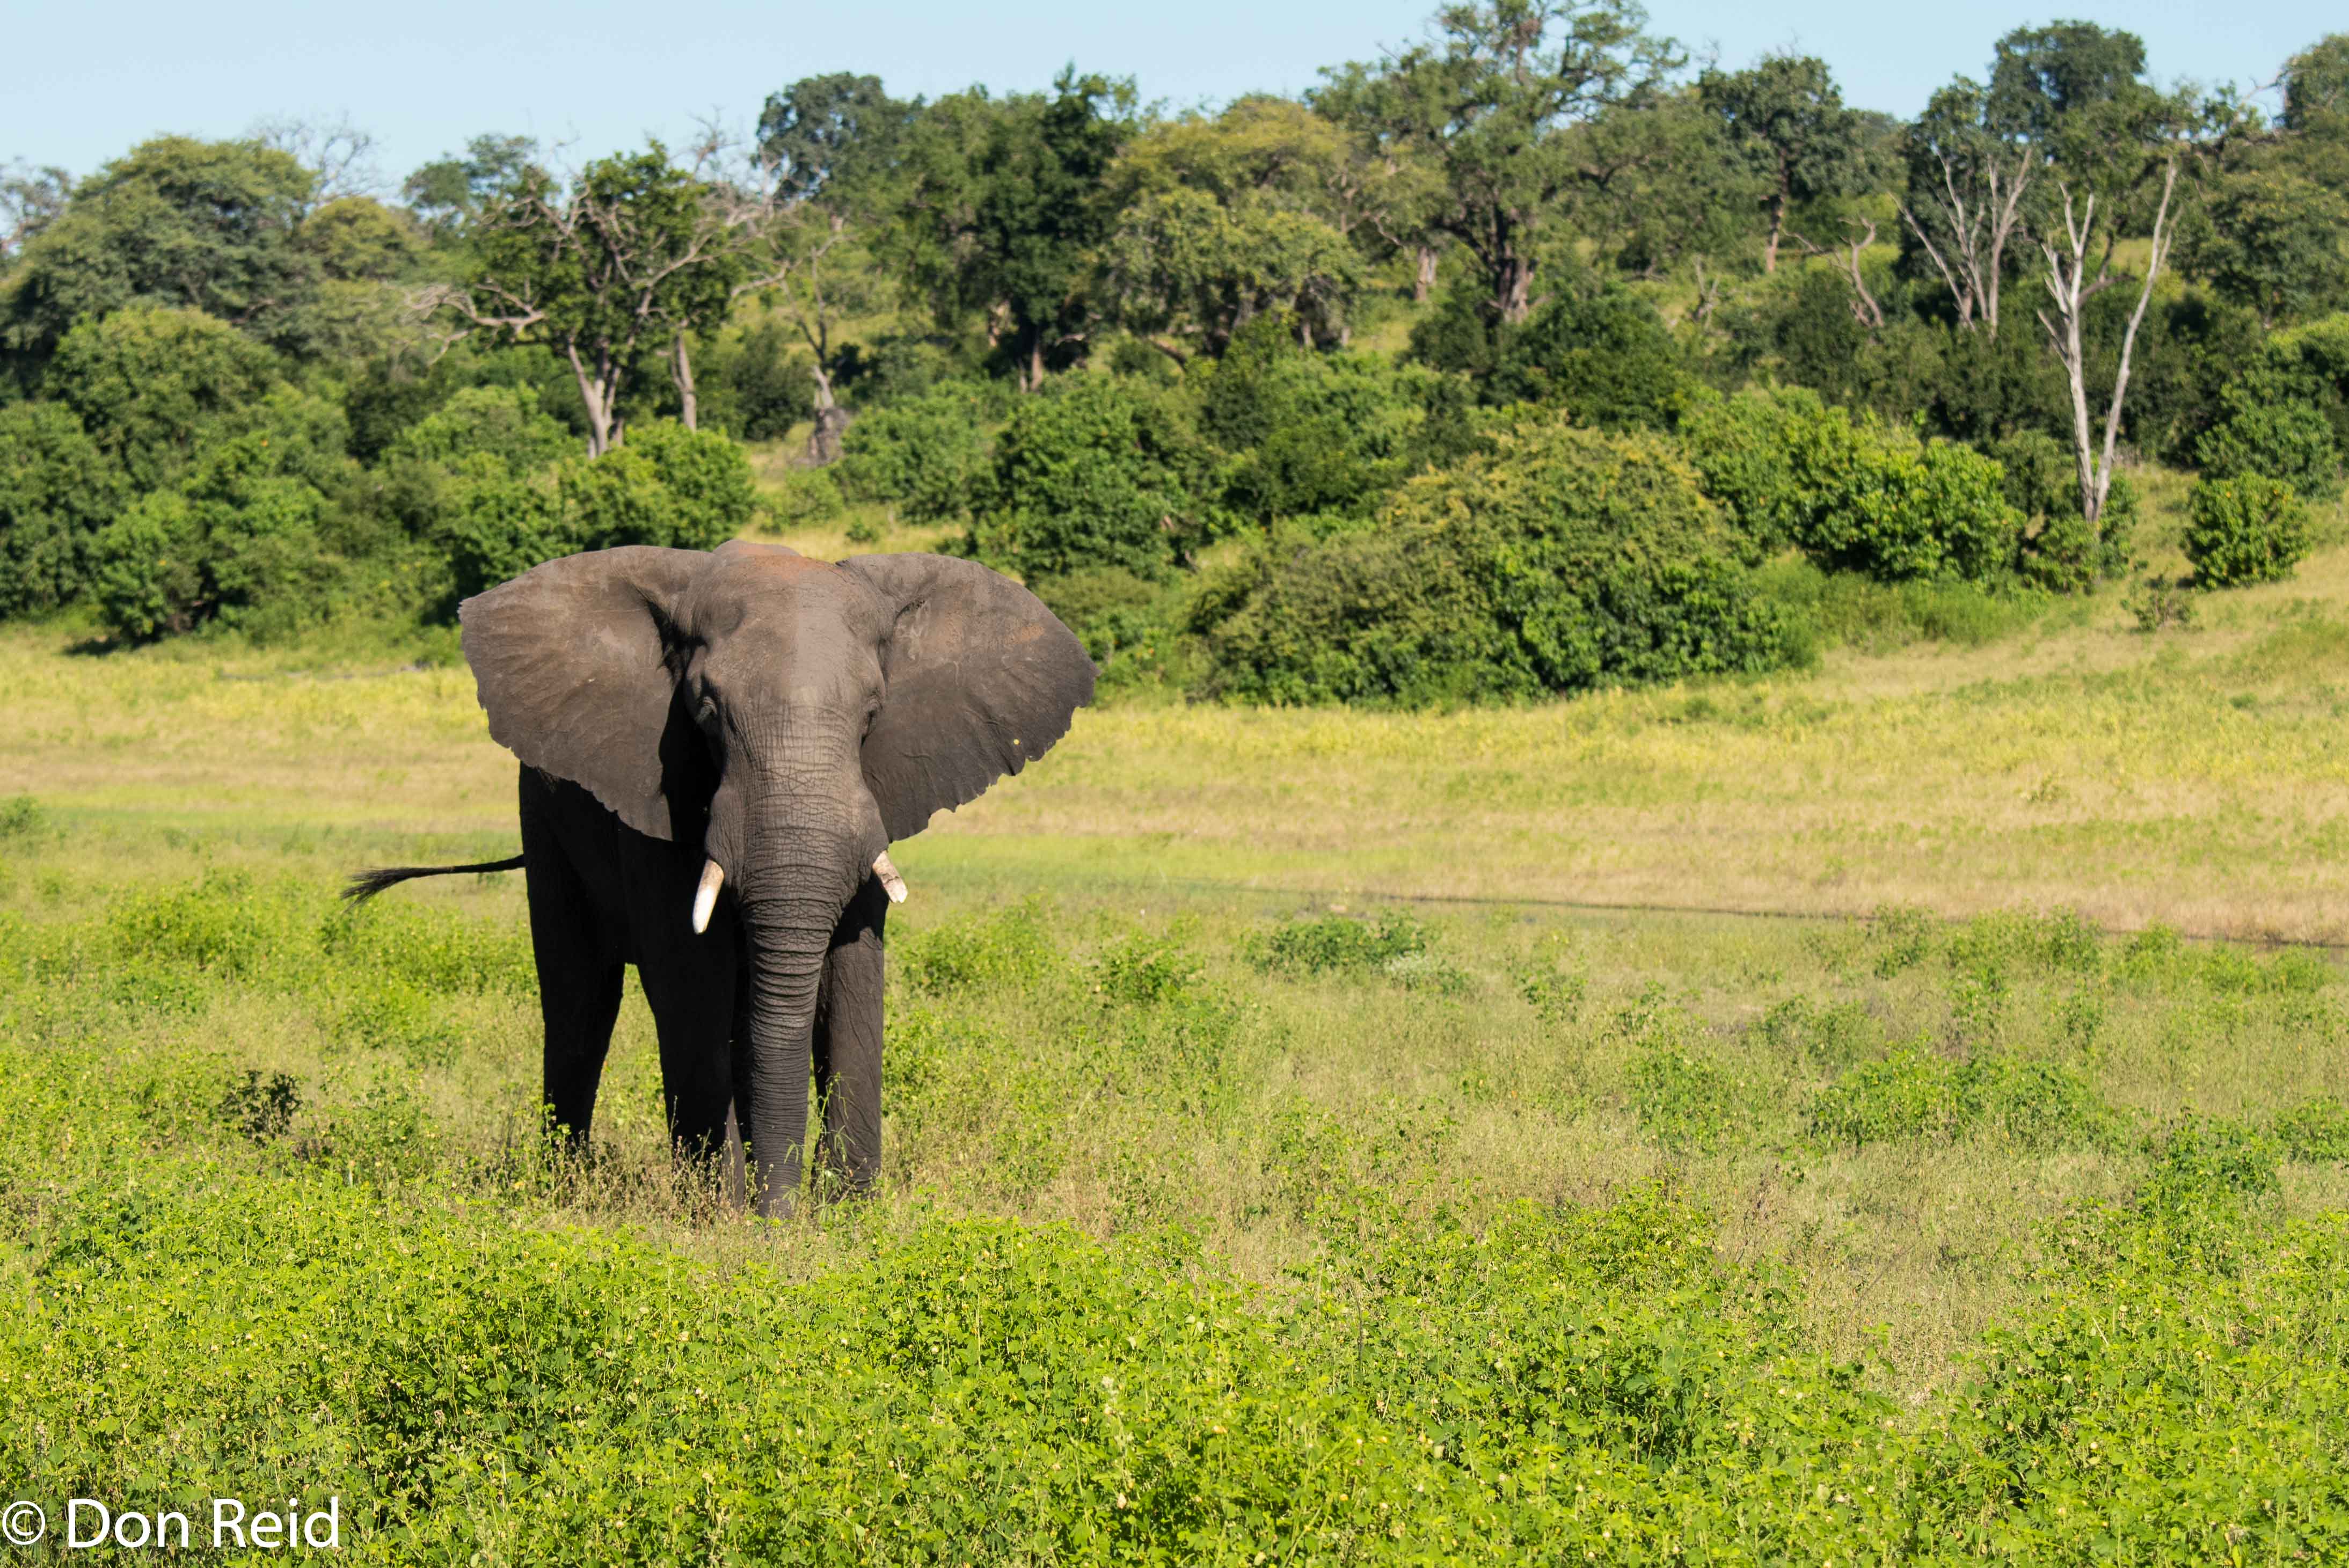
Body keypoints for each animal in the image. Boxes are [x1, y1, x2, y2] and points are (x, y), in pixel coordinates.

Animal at [347, 540, 1095, 1214]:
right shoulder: (658, 795)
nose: (783, 1215)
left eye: (872, 715)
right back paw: (565, 1189)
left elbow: (853, 975)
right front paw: (729, 1218)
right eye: (707, 713)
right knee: (578, 997)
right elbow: (689, 977)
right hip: (545, 815)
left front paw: (848, 1214)